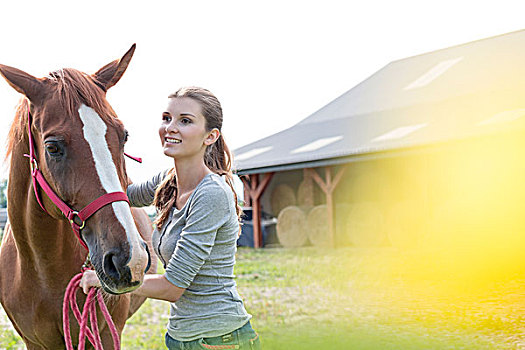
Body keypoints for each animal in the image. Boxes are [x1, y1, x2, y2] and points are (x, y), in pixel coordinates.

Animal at [0, 45, 156, 348]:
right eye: (52, 147)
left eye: (124, 136)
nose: (129, 258)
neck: (43, 271)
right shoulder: (35, 342)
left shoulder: (105, 335)